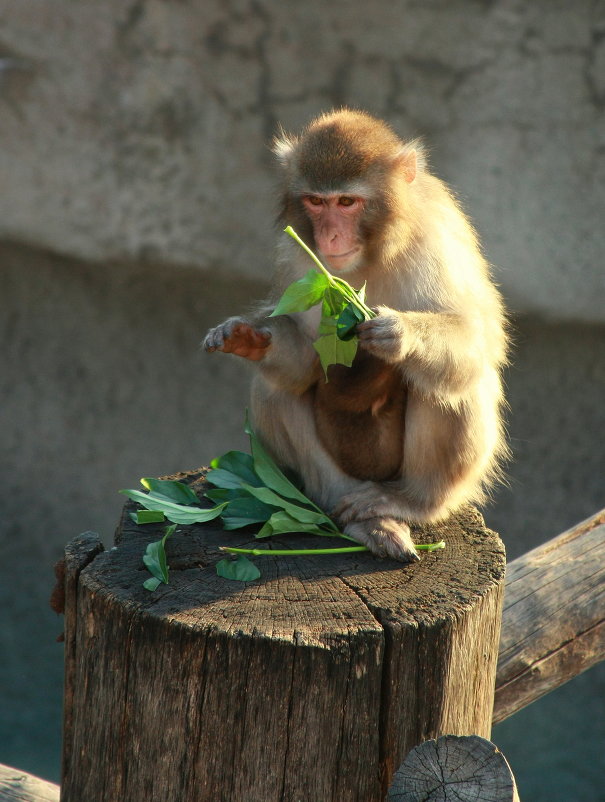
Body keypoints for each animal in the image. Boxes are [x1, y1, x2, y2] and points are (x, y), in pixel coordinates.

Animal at [205, 109, 508, 560]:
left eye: (347, 202)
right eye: (316, 202)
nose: (330, 237)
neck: (373, 253)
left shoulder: (436, 240)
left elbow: (480, 338)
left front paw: (400, 334)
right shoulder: (297, 260)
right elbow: (305, 366)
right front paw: (250, 336)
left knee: (453, 386)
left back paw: (411, 502)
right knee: (275, 389)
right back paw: (351, 512)